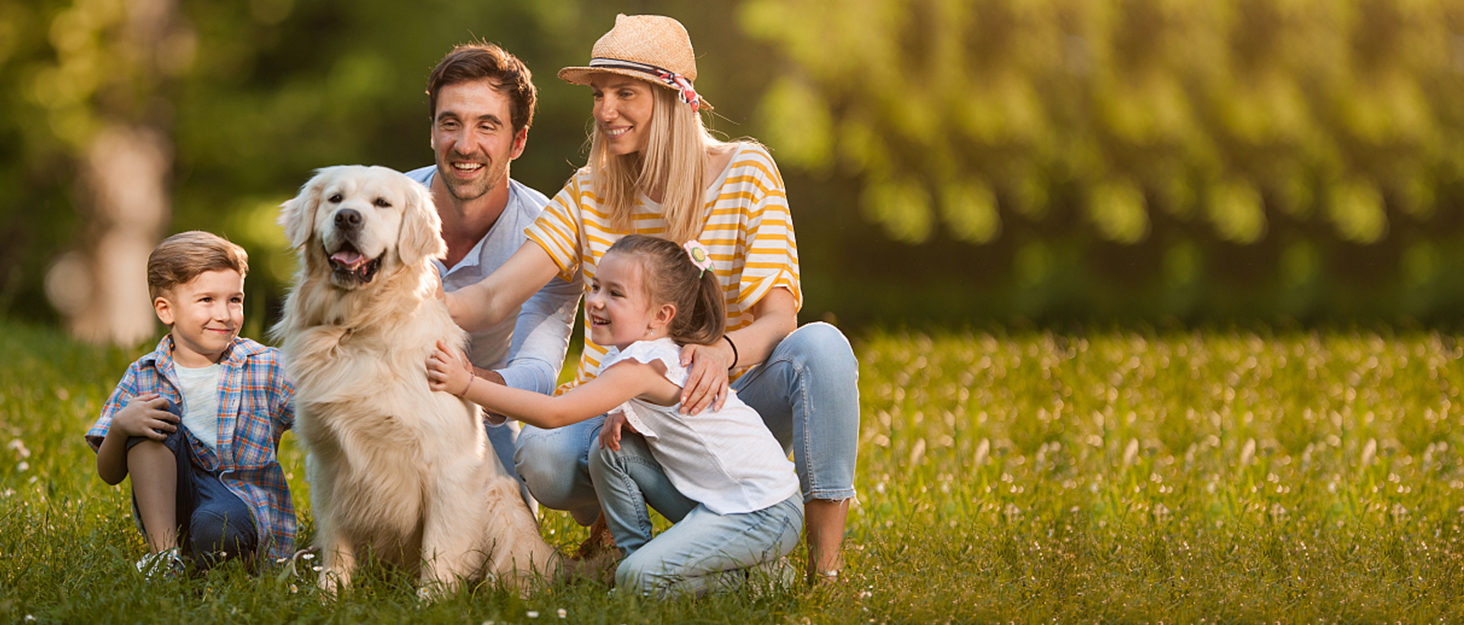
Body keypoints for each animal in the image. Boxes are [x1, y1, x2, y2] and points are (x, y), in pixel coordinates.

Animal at [272, 165, 556, 597]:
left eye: (382, 203)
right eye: (335, 199)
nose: (347, 218)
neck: (356, 328)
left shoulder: (448, 467)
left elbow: (439, 548)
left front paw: (430, 600)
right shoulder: (327, 461)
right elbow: (336, 543)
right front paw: (328, 595)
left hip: (503, 509)